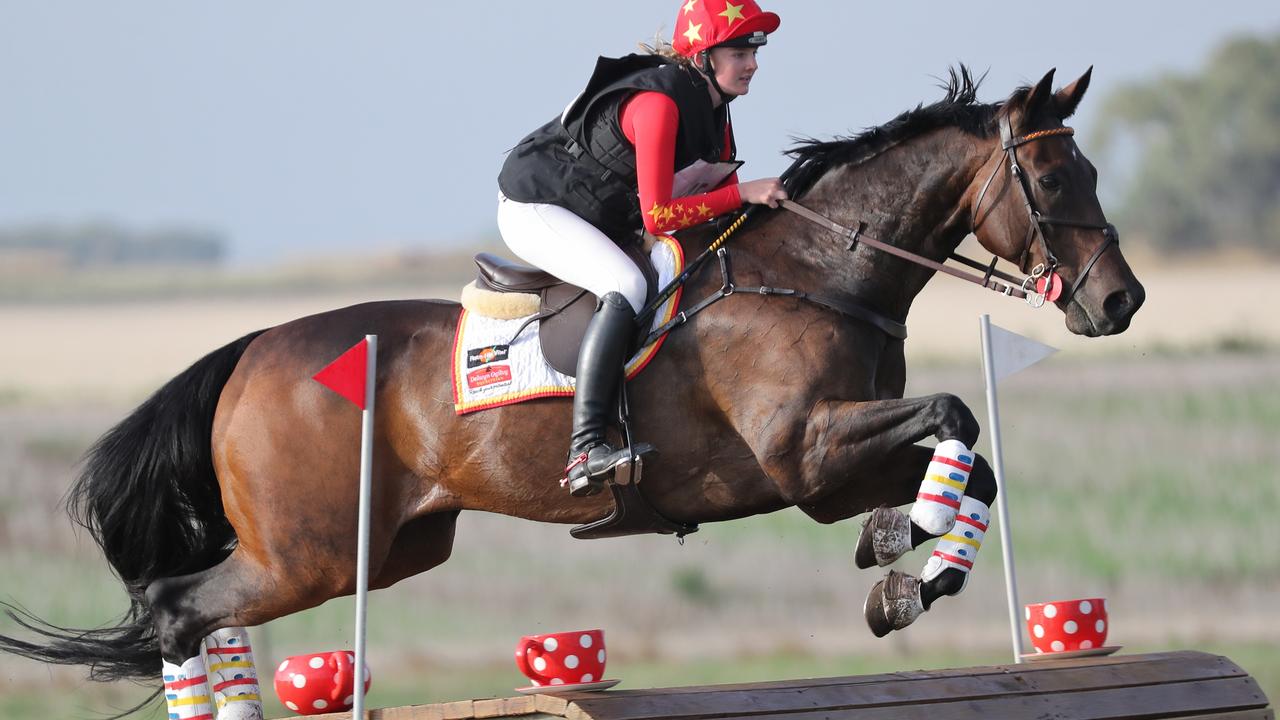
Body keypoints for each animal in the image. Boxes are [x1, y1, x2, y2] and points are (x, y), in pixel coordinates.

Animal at [0, 67, 1141, 712]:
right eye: (1053, 179)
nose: (1119, 300)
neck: (824, 268)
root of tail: (250, 352)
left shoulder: (830, 472)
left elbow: (969, 468)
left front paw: (902, 568)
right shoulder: (805, 453)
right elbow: (955, 416)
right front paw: (904, 551)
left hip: (388, 547)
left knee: (184, 615)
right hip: (311, 553)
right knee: (175, 610)